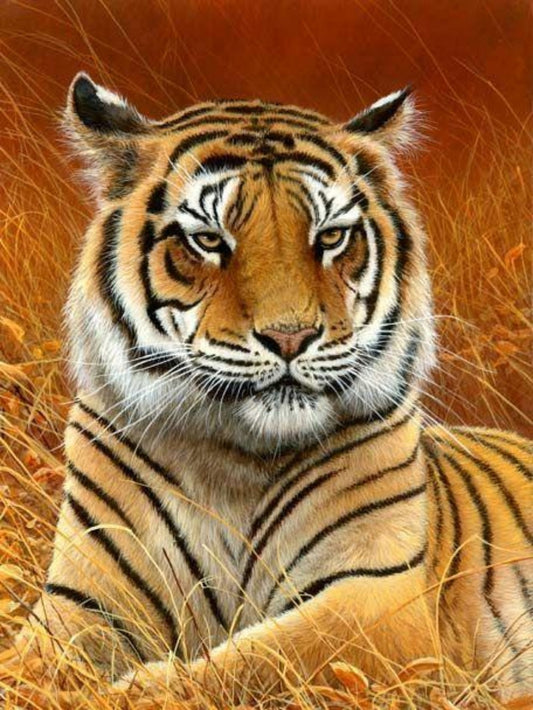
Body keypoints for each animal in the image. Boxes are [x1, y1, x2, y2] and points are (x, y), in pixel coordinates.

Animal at [15, 72, 532, 704]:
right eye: (209, 240)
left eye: (330, 237)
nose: (291, 336)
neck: (232, 465)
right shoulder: (81, 601)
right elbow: (29, 666)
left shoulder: (377, 596)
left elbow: (253, 661)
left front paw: (134, 692)